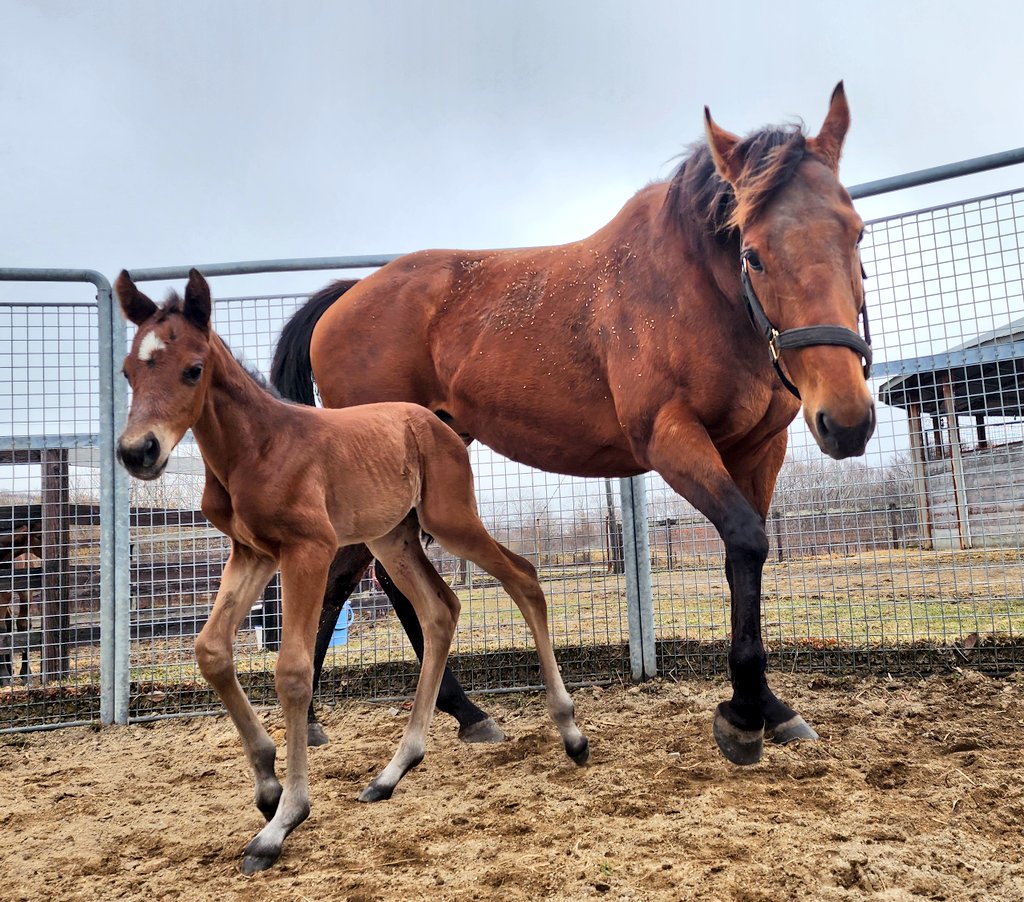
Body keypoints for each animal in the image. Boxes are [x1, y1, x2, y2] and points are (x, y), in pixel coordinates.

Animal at [114, 269, 588, 874]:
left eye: (192, 369)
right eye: (128, 371)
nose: (138, 452)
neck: (257, 446)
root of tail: (434, 422)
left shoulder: (308, 550)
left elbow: (292, 671)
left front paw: (283, 821)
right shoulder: (251, 553)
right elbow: (211, 652)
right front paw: (267, 786)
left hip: (448, 519)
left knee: (523, 576)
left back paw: (571, 734)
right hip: (391, 538)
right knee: (440, 610)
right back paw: (393, 771)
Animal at [272, 83, 875, 766]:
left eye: (856, 234)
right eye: (753, 252)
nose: (846, 420)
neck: (694, 290)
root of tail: (345, 298)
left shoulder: (760, 449)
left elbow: (744, 560)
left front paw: (770, 708)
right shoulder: (670, 438)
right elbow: (747, 540)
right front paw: (744, 715)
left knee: (361, 577)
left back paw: (419, 715)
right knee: (376, 582)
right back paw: (412, 714)